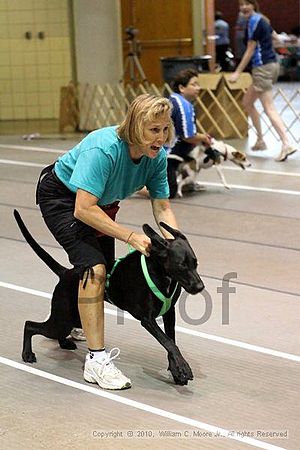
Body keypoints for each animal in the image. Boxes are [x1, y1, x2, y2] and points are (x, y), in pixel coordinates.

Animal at [15, 209, 205, 384]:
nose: (200, 287)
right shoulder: (147, 319)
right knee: (29, 325)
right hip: (62, 319)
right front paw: (183, 368)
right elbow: (168, 342)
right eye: (181, 265)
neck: (162, 273)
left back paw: (64, 343)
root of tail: (66, 273)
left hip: (73, 318)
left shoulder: (169, 313)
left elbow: (171, 341)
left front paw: (177, 370)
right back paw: (27, 354)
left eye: (195, 263)